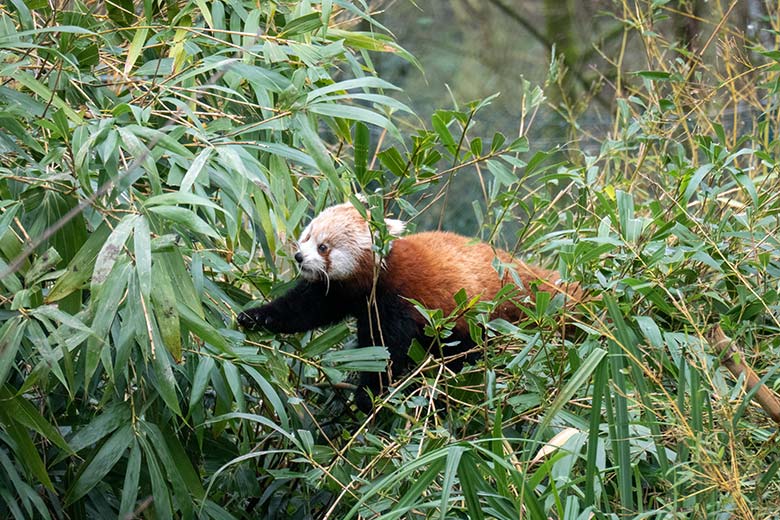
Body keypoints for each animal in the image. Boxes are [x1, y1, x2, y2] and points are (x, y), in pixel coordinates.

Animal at [238, 201, 580, 412]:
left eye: (324, 247)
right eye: (307, 236)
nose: (299, 257)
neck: (378, 275)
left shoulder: (398, 300)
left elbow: (388, 352)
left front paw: (368, 396)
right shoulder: (340, 293)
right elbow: (300, 310)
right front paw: (254, 316)